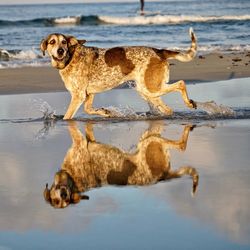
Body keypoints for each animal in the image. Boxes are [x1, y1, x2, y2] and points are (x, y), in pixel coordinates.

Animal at [40, 28, 197, 119]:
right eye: (52, 42)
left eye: (64, 42)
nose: (61, 51)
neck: (70, 58)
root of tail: (159, 51)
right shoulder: (89, 94)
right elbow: (88, 109)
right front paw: (104, 112)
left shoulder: (78, 95)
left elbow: (67, 116)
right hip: (147, 91)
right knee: (168, 109)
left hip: (151, 88)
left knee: (181, 83)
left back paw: (189, 103)